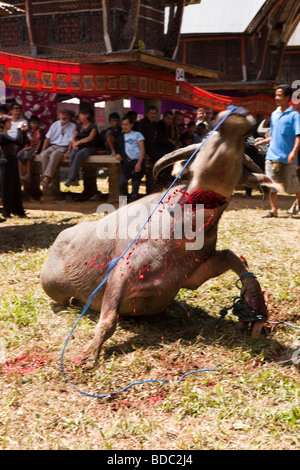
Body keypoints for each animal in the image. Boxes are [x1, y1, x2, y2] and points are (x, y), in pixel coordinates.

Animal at [41, 108, 276, 362]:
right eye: (207, 140)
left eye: (242, 149)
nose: (236, 118)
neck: (183, 232)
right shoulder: (122, 271)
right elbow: (109, 318)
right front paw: (90, 354)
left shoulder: (193, 273)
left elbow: (235, 258)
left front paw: (255, 306)